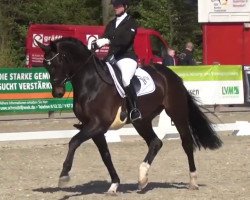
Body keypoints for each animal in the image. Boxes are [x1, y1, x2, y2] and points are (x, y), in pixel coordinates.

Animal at [36, 37, 222, 194]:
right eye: (45, 65)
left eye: (58, 61)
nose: (57, 92)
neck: (91, 83)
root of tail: (172, 75)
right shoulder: (94, 128)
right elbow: (105, 155)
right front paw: (114, 184)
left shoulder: (97, 124)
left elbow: (73, 142)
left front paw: (64, 175)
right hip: (141, 121)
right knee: (155, 142)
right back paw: (142, 178)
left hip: (176, 113)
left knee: (186, 143)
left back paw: (193, 181)